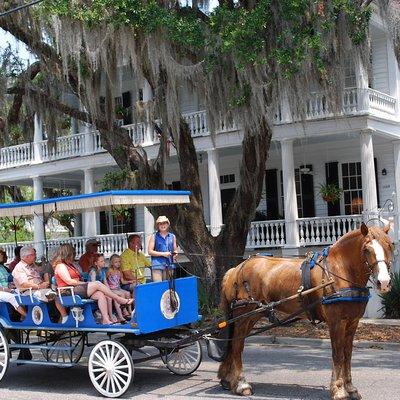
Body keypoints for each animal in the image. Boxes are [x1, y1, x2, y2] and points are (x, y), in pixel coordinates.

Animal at [217, 223, 392, 398]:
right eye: (366, 249)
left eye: (389, 245)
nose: (383, 282)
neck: (339, 271)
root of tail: (235, 269)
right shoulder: (336, 322)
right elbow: (338, 354)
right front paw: (338, 390)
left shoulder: (352, 322)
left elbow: (347, 354)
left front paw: (350, 388)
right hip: (243, 315)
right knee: (237, 346)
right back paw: (241, 384)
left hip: (252, 315)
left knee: (233, 343)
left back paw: (228, 380)